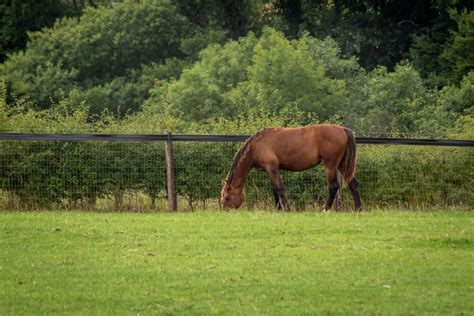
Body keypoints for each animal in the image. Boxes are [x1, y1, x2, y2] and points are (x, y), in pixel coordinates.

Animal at [220, 124, 362, 211]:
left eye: (227, 197)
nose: (225, 211)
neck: (256, 144)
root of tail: (343, 129)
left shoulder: (272, 167)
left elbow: (279, 188)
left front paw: (287, 209)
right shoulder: (270, 170)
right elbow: (275, 190)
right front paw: (278, 209)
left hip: (330, 166)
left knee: (333, 186)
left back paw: (325, 209)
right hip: (342, 165)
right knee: (353, 184)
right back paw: (358, 209)